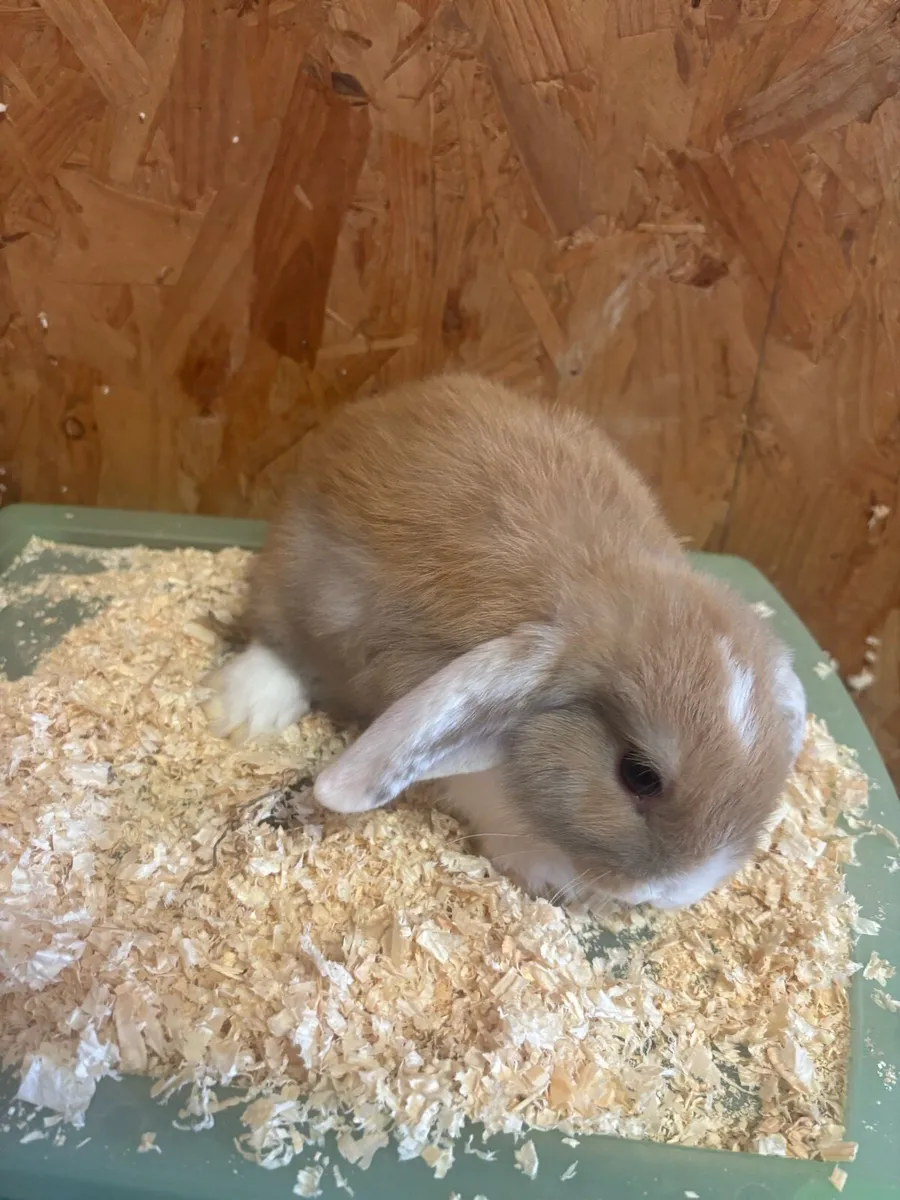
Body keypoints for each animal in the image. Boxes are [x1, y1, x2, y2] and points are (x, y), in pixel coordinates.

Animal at [204, 373, 806, 910]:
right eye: (639, 775)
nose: (681, 893)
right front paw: (551, 876)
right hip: (294, 580)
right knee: (277, 641)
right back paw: (241, 715)